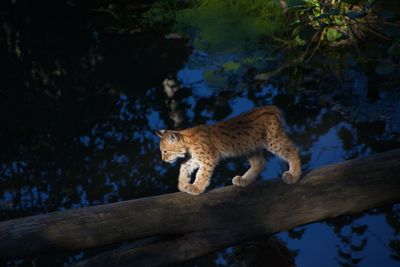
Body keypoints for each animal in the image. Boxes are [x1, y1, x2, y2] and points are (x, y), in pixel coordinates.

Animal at [155, 105, 302, 196]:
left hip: (272, 140)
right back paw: (244, 180)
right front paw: (182, 184)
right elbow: (183, 169)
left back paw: (294, 175)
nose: (163, 160)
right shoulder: (192, 159)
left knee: (293, 149)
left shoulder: (209, 157)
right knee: (259, 163)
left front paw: (196, 187)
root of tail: (270, 107)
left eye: (165, 151)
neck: (188, 144)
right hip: (250, 146)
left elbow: (202, 173)